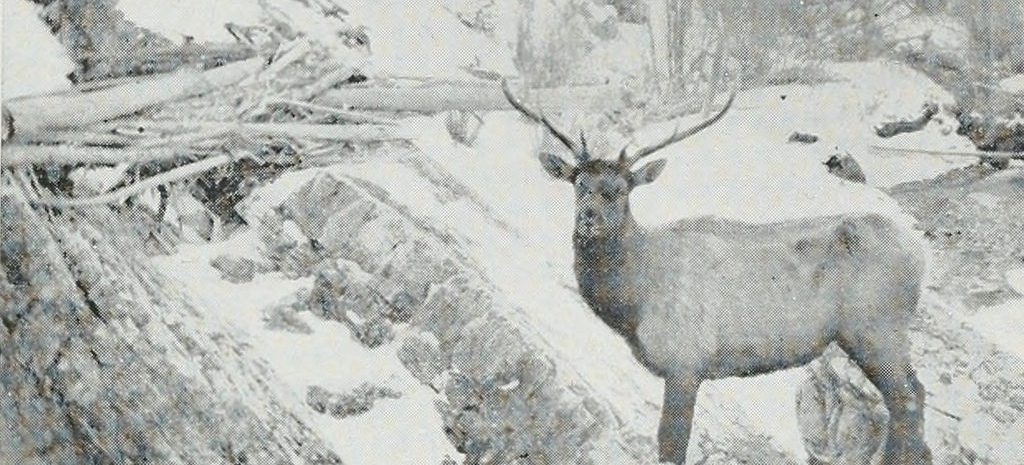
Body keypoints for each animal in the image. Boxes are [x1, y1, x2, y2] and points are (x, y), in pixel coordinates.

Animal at [501, 80, 933, 465]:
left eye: (621, 189)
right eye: (579, 183)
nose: (589, 219)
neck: (634, 301)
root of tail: (919, 249)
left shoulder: (685, 362)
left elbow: (671, 445)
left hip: (875, 326)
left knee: (907, 398)